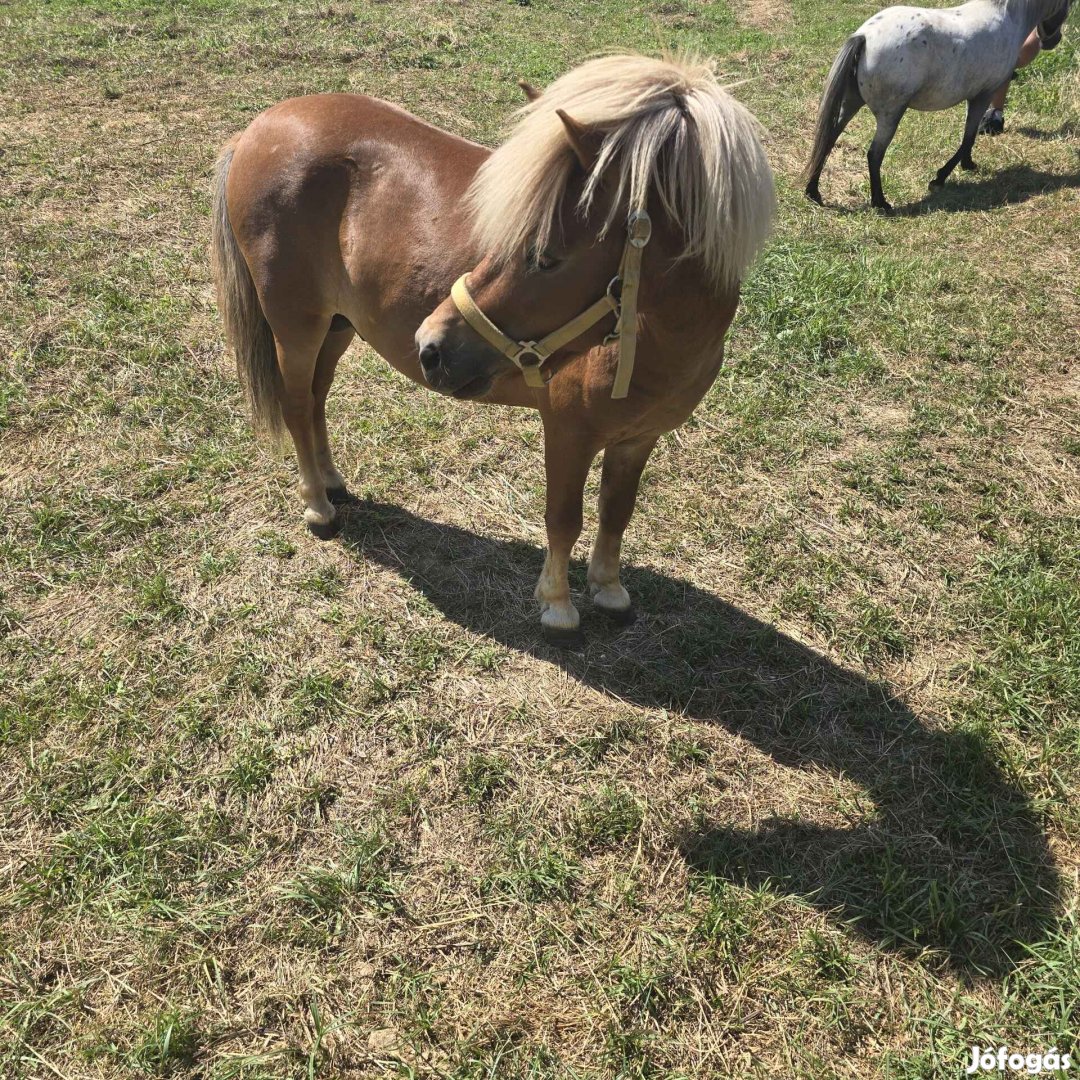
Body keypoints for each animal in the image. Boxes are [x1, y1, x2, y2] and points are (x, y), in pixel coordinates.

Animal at [210, 54, 773, 643]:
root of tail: (257, 129)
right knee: (297, 405)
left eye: (546, 257)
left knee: (317, 399)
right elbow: (564, 518)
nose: (430, 346)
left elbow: (617, 512)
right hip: (297, 327)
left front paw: (609, 589)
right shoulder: (568, 432)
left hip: (338, 327)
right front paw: (557, 605)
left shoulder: (638, 439)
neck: (654, 343)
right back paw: (319, 508)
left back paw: (332, 483)